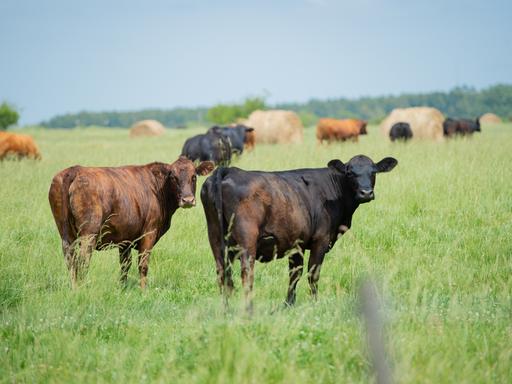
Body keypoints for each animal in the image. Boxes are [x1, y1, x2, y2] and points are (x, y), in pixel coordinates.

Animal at [49, 156, 213, 288]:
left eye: (194, 177)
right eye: (173, 177)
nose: (188, 200)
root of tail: (75, 170)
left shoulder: (125, 239)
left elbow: (125, 266)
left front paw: (123, 288)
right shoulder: (149, 233)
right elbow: (143, 265)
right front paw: (143, 291)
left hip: (66, 235)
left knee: (70, 260)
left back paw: (74, 288)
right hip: (88, 234)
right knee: (82, 261)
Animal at [200, 154, 396, 310]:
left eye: (374, 172)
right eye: (350, 173)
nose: (366, 193)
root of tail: (228, 170)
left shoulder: (296, 244)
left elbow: (295, 274)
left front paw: (289, 304)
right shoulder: (320, 240)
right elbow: (312, 274)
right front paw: (315, 303)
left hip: (215, 238)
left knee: (222, 274)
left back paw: (226, 310)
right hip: (247, 240)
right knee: (246, 275)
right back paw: (249, 309)